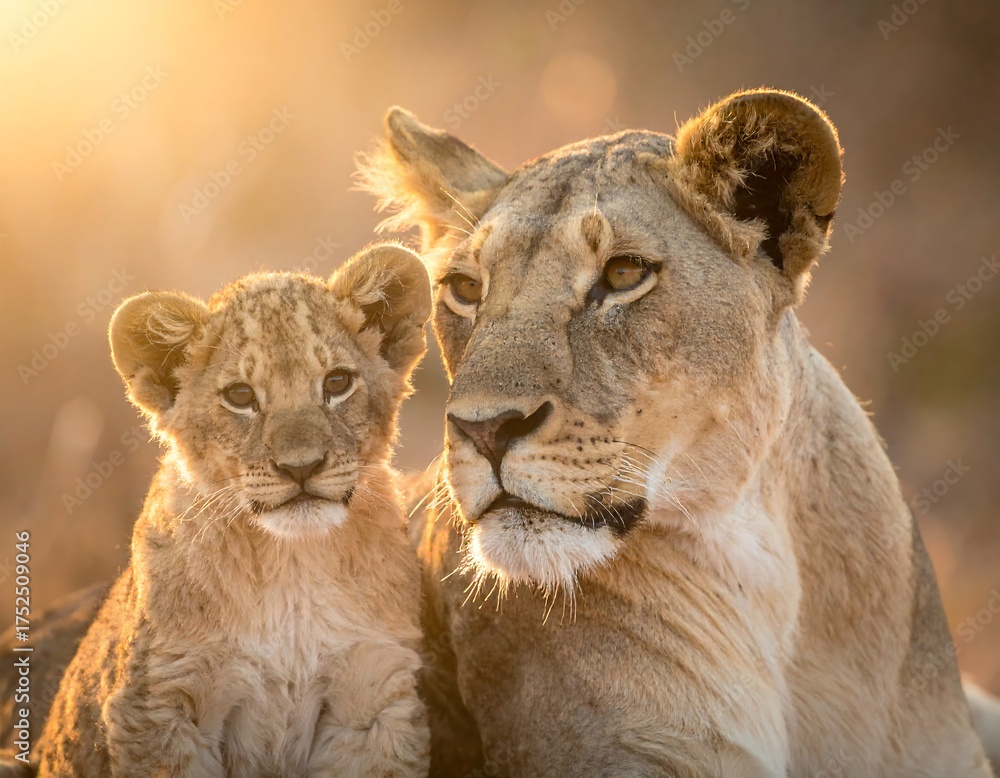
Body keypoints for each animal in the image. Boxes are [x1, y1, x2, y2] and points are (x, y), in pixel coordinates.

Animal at [32, 244, 432, 777]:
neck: (292, 566)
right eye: (240, 396)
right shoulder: (161, 706)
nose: (301, 467)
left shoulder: (373, 699)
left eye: (338, 382)